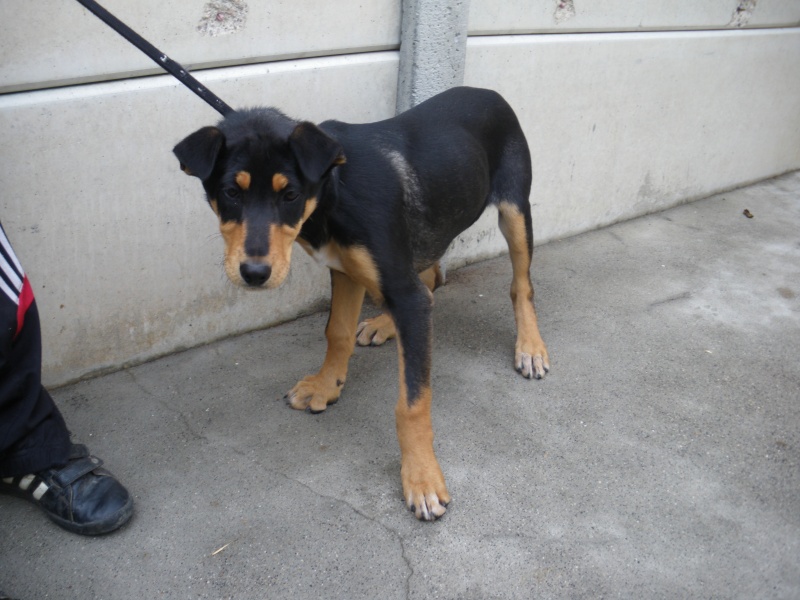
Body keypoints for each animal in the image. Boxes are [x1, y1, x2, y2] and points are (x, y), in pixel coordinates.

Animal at [175, 85, 552, 520]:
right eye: (230, 193)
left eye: (290, 194)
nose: (254, 273)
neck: (334, 189)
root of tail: (489, 91)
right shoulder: (347, 270)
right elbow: (336, 332)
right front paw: (326, 385)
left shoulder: (395, 286)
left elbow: (411, 402)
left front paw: (422, 478)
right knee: (429, 283)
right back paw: (385, 324)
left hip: (514, 207)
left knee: (520, 285)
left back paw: (530, 347)